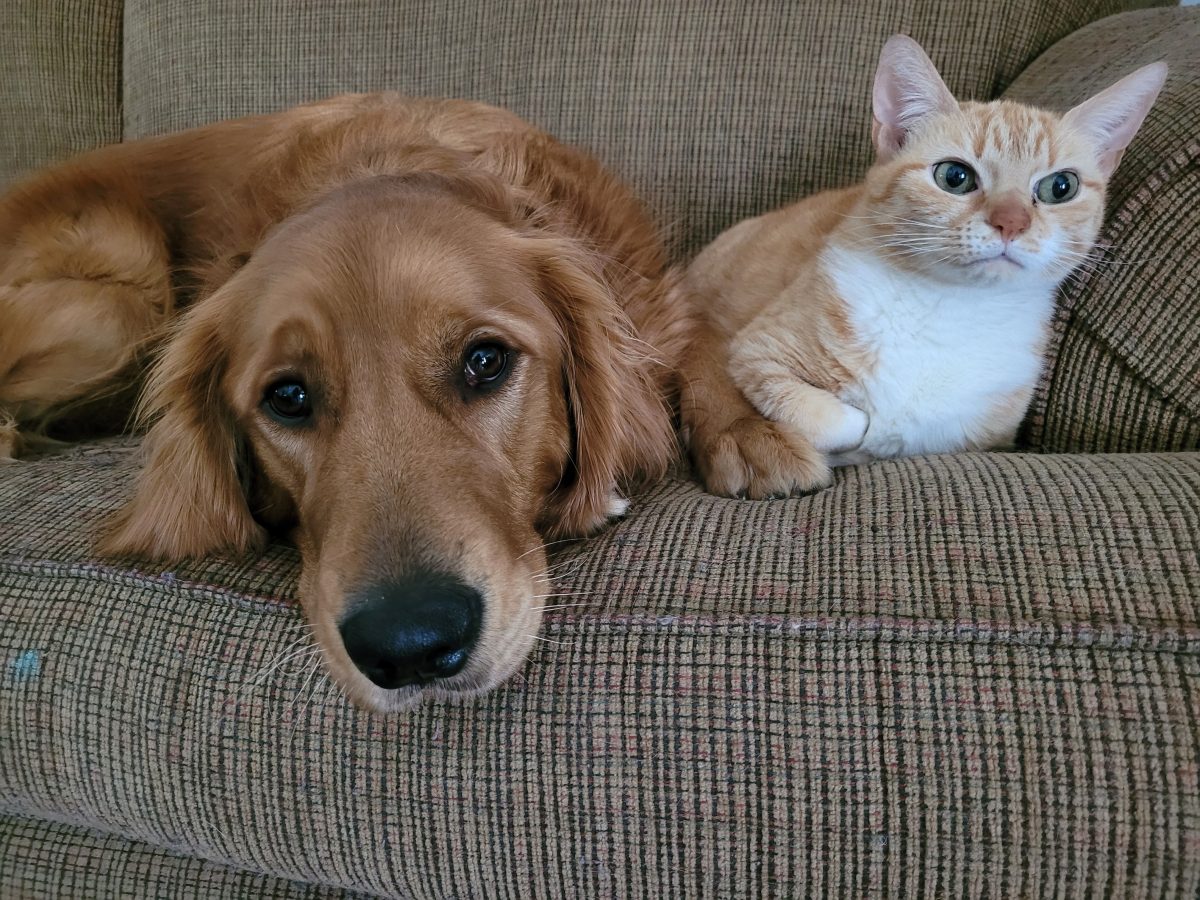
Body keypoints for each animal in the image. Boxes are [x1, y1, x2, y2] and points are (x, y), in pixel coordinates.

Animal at [681, 35, 1166, 501]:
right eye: (955, 177)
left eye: (1060, 187)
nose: (1012, 222)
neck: (949, 308)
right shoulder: (754, 351)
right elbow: (839, 419)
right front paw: (854, 434)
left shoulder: (985, 435)